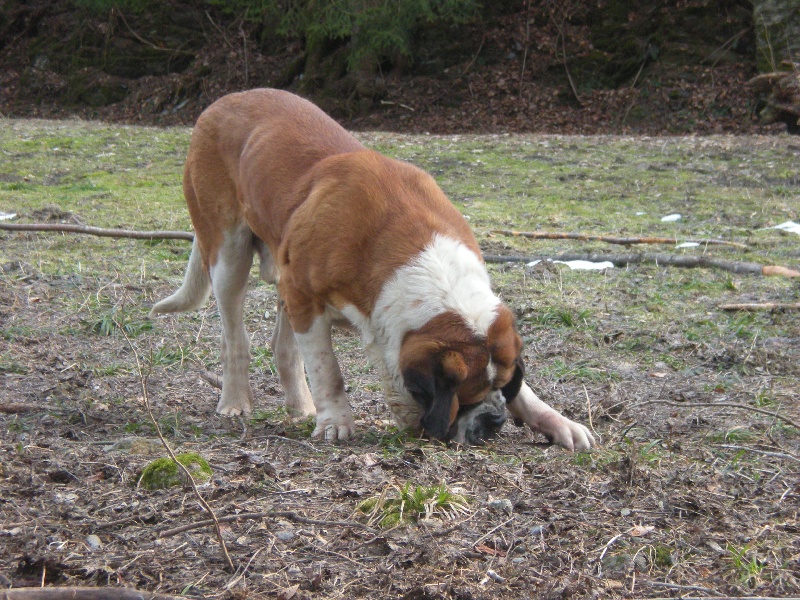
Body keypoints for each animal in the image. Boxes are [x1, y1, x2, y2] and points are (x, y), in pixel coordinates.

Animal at [150, 89, 594, 450]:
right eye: (462, 398)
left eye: (503, 387)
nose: (494, 422)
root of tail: (222, 102)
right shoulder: (306, 298)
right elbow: (326, 368)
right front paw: (336, 422)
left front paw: (555, 421)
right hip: (228, 256)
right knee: (234, 337)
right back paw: (235, 401)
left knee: (283, 347)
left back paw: (299, 405)